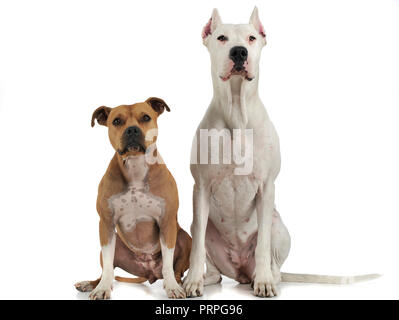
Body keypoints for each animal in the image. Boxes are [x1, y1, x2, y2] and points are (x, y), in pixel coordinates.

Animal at [77, 98, 193, 300]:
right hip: (113, 244)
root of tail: (149, 272)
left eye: (146, 117)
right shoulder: (106, 223)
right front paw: (102, 288)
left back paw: (176, 283)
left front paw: (172, 286)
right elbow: (108, 266)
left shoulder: (167, 222)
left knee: (176, 269)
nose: (132, 130)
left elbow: (168, 263)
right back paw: (90, 284)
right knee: (107, 268)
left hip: (185, 238)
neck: (136, 167)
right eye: (116, 121)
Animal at [184, 7, 378, 298]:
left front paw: (264, 282)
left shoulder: (266, 187)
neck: (237, 113)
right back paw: (205, 279)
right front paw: (192, 281)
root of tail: (240, 272)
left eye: (252, 38)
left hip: (279, 227)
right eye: (221, 38)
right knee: (215, 270)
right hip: (203, 229)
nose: (239, 52)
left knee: (272, 262)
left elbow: (263, 243)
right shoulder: (202, 188)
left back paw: (263, 277)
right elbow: (196, 248)